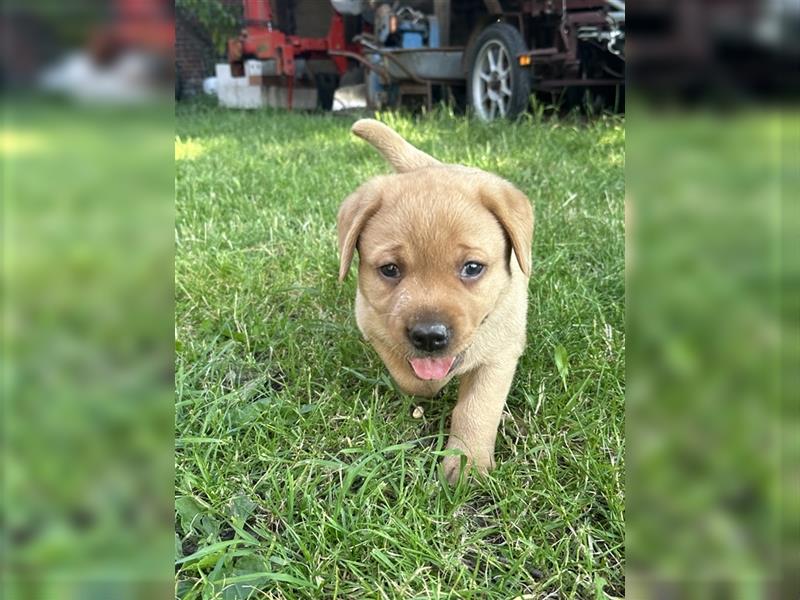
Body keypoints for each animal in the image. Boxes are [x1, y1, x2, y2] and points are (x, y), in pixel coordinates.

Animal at [336, 120, 532, 482]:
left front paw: (467, 462)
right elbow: (412, 378)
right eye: (390, 269)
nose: (429, 336)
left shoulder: (500, 353)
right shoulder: (371, 325)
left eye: (472, 268)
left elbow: (477, 409)